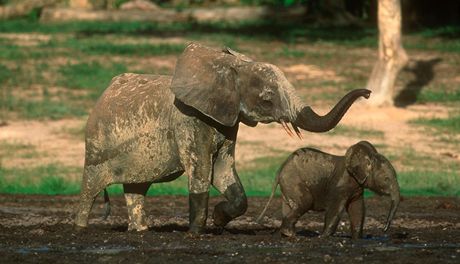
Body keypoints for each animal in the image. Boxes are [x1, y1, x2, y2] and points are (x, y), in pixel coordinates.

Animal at [74, 42, 370, 233]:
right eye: (267, 99)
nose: (367, 94)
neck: (231, 66)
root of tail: (103, 94)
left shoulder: (228, 121)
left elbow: (224, 170)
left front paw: (218, 220)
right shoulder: (188, 120)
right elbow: (202, 171)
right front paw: (195, 233)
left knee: (137, 189)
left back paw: (140, 231)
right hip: (96, 145)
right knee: (90, 187)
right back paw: (81, 229)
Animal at [256, 141, 400, 238]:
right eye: (386, 179)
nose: (384, 229)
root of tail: (280, 169)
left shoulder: (357, 187)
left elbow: (357, 210)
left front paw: (357, 239)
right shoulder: (340, 185)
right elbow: (335, 210)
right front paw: (322, 237)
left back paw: (287, 234)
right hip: (293, 181)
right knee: (305, 202)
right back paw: (290, 234)